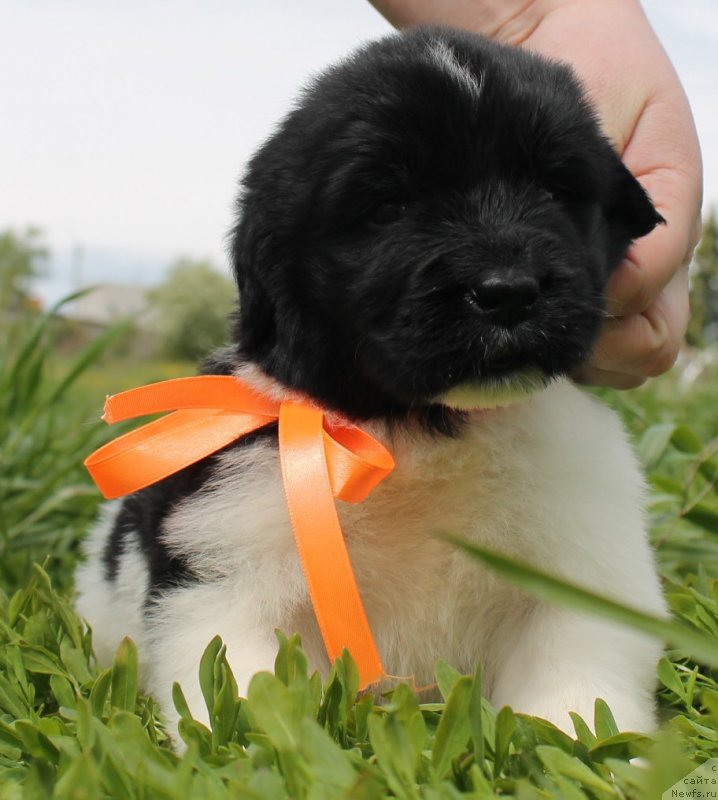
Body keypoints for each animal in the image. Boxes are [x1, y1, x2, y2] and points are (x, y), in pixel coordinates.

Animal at [74, 26, 668, 736]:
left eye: (554, 191)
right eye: (389, 207)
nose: (508, 291)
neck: (415, 430)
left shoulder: (582, 566)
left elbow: (576, 696)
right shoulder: (227, 570)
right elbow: (241, 693)